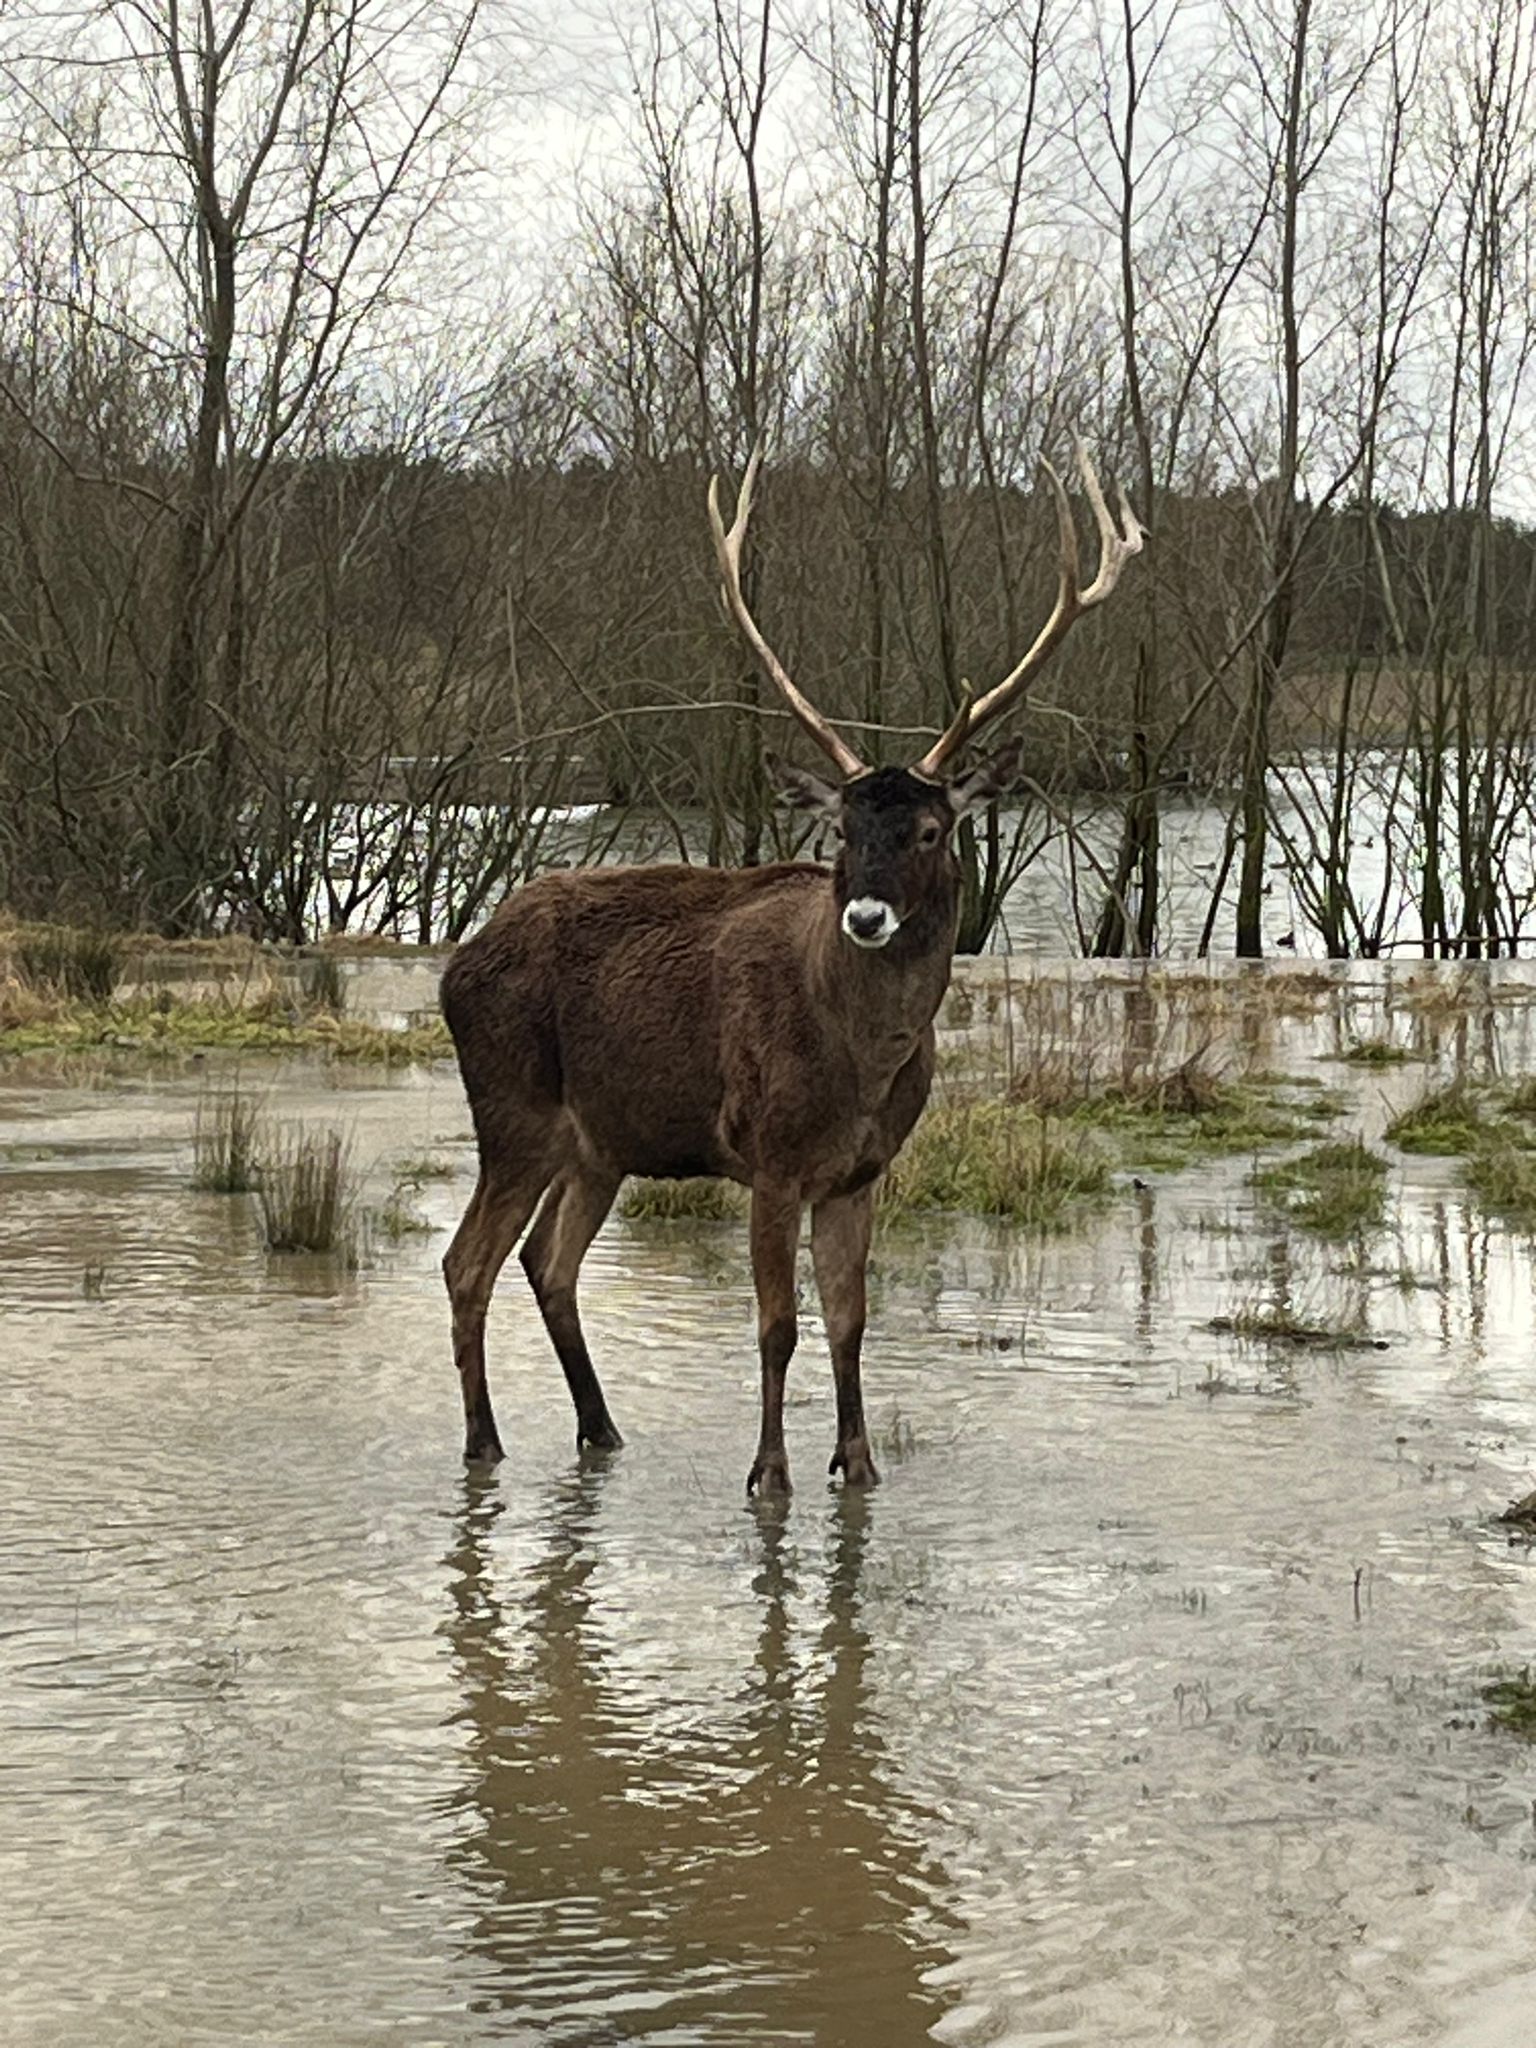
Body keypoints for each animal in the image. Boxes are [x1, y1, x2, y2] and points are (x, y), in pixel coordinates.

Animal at [438, 448, 1138, 1499]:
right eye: (842, 829)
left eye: (930, 828)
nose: (866, 915)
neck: (858, 1066)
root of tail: (455, 963)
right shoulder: (767, 1156)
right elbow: (776, 1325)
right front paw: (769, 1472)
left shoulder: (860, 1172)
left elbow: (849, 1321)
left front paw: (860, 1462)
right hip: (511, 1109)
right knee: (467, 1263)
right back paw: (485, 1440)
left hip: (599, 1141)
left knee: (546, 1262)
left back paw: (601, 1430)